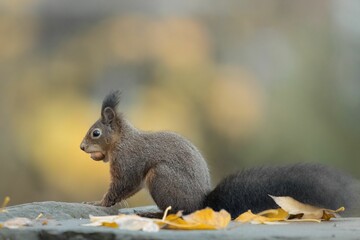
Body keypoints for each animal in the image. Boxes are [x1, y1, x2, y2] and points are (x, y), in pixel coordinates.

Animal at [81, 90, 360, 218]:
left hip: (160, 177)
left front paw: (97, 203)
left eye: (95, 133)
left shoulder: (128, 162)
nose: (82, 148)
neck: (121, 141)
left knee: (181, 212)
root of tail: (202, 203)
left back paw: (156, 214)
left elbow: (121, 186)